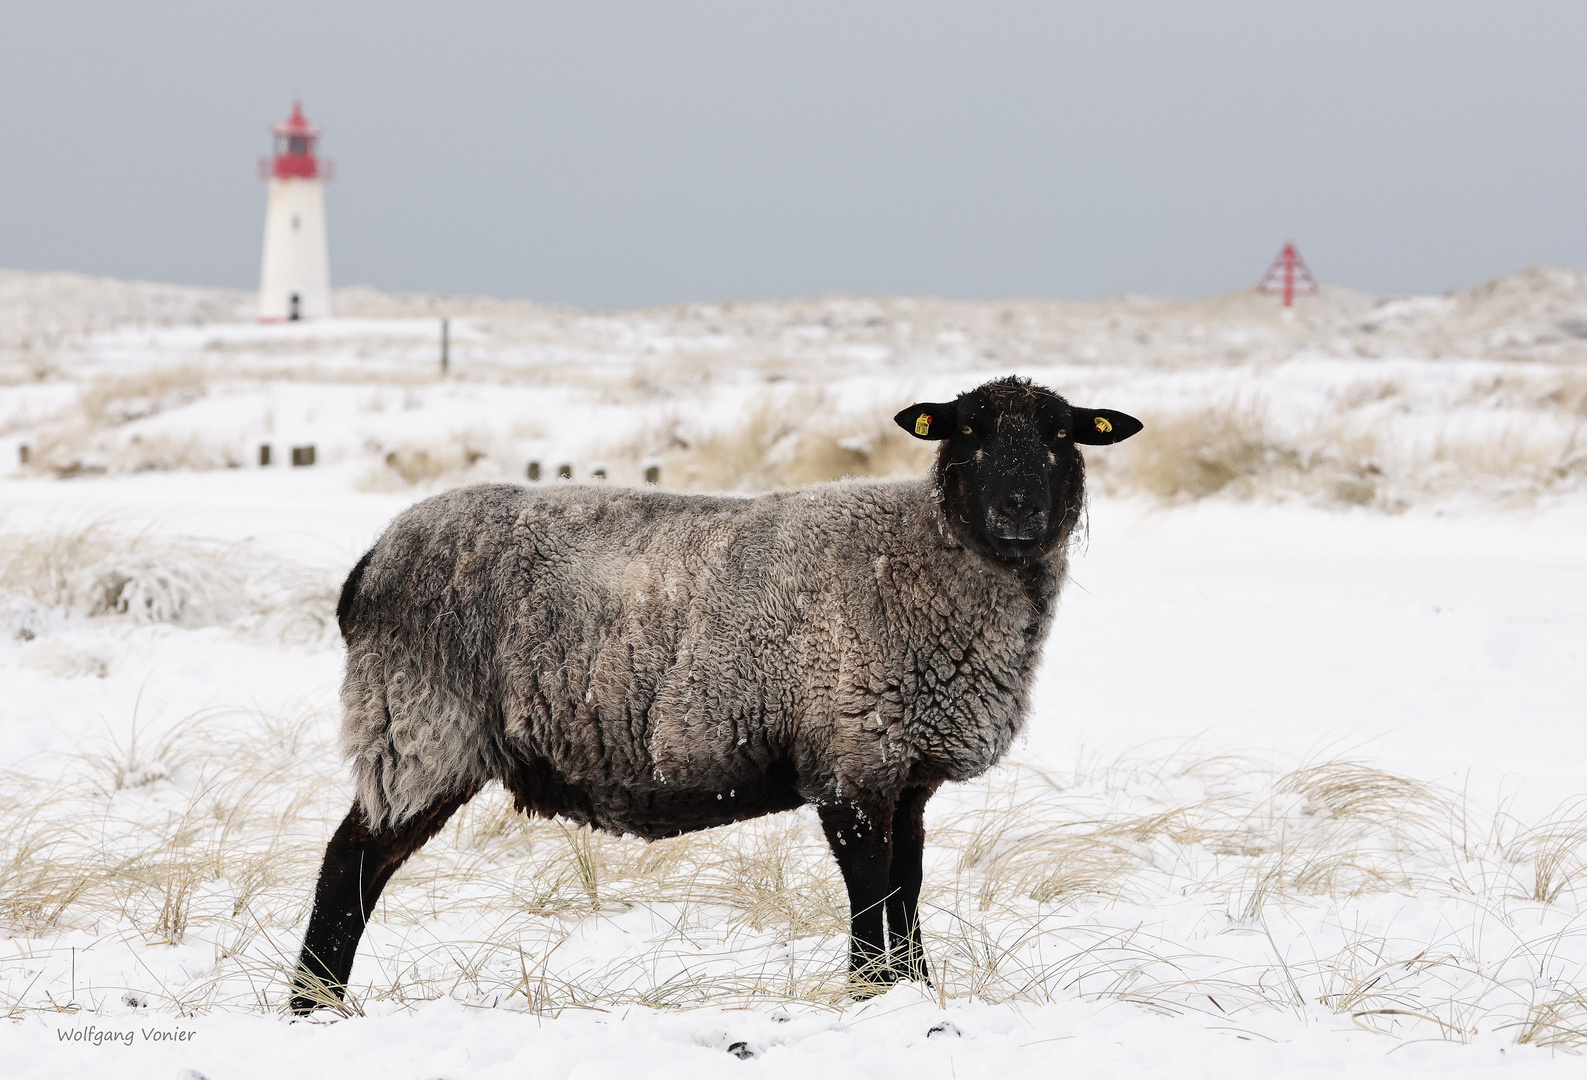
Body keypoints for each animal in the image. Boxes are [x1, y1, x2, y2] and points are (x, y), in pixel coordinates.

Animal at [292, 372, 1142, 1008]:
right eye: (967, 433)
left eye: (1062, 436)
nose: (1017, 510)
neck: (921, 555)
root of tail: (371, 560)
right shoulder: (848, 761)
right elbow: (872, 901)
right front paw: (870, 1001)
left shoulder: (902, 776)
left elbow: (906, 897)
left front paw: (911, 995)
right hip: (417, 726)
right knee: (348, 863)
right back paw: (313, 1008)